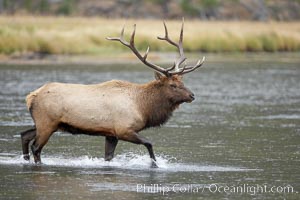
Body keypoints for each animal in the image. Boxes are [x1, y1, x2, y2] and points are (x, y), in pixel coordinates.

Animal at [19, 19, 205, 167]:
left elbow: (108, 157)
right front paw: (155, 164)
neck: (143, 107)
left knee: (24, 135)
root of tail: (30, 96)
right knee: (36, 146)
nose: (192, 95)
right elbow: (149, 143)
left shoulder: (111, 134)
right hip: (47, 122)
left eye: (182, 82)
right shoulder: (123, 129)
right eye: (173, 85)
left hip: (47, 123)